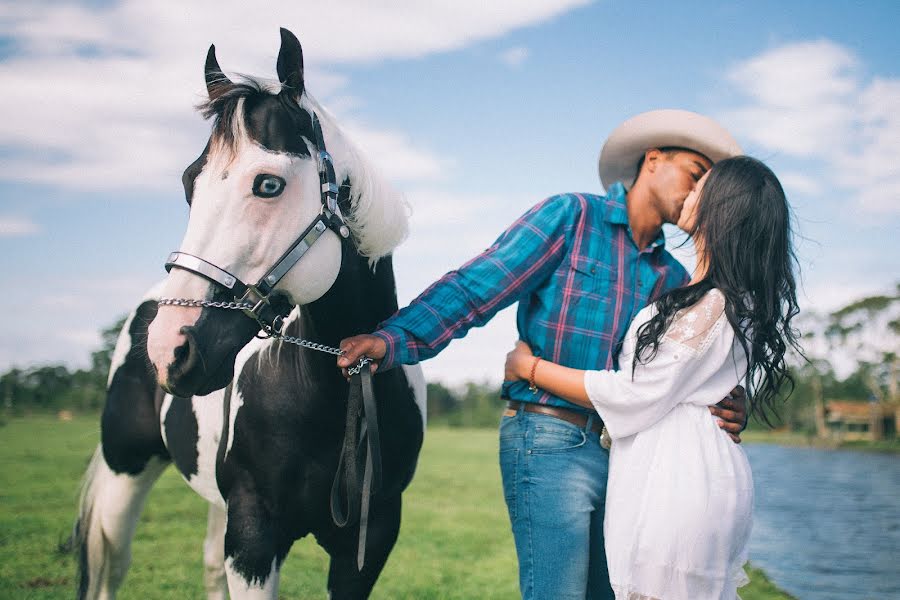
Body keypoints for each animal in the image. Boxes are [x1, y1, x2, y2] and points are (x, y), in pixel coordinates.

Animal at [75, 29, 428, 600]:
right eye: (189, 182)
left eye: (268, 184)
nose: (170, 349)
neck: (333, 395)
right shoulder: (254, 539)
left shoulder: (367, 546)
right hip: (124, 470)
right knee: (111, 565)